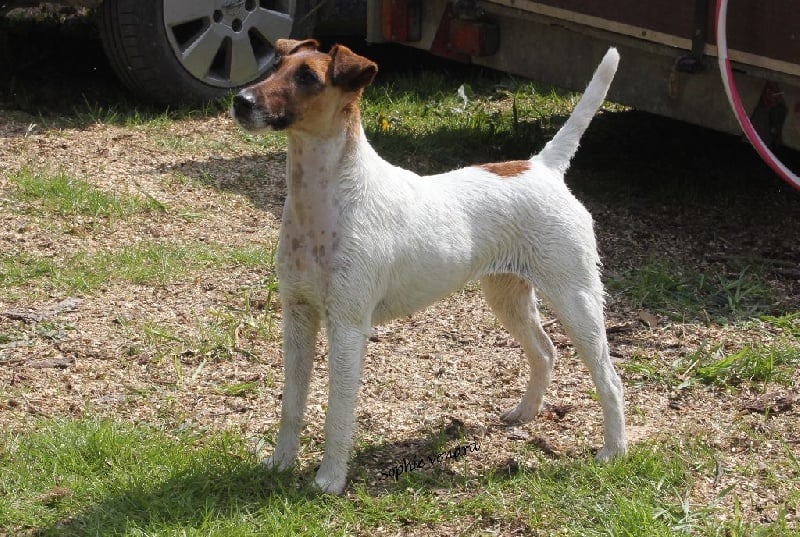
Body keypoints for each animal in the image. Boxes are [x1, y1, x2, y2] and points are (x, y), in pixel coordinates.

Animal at [231, 39, 627, 494]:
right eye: (275, 65)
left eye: (307, 77)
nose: (240, 101)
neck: (327, 200)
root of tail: (543, 168)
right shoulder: (297, 316)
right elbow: (291, 403)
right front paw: (280, 463)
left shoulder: (347, 326)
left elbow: (338, 411)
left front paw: (329, 480)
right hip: (507, 296)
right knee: (544, 352)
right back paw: (523, 413)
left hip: (576, 300)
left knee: (609, 379)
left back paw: (614, 450)